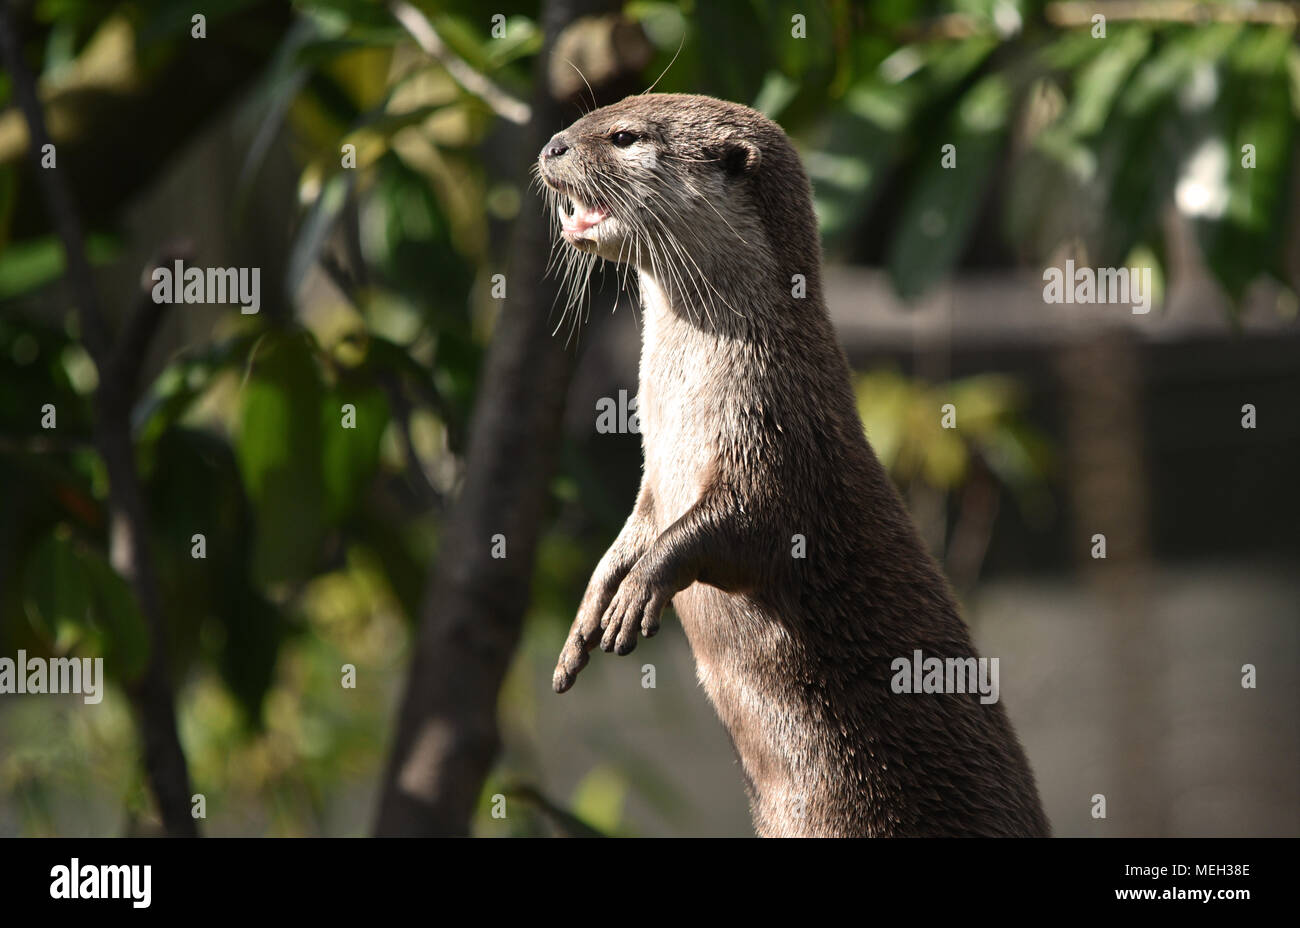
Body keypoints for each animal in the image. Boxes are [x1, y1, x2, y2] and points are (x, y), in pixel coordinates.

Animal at [533, 94, 1050, 837]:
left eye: (624, 136)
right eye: (594, 115)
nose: (551, 145)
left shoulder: (779, 446)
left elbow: (740, 532)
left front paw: (640, 590)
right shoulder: (656, 482)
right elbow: (633, 534)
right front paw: (592, 606)